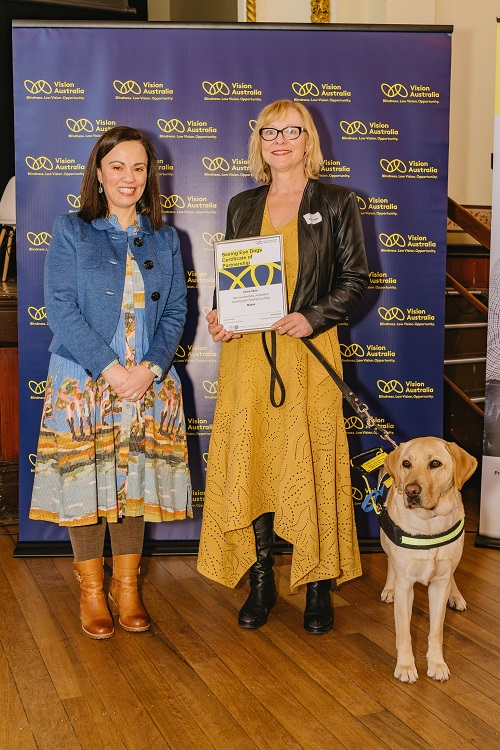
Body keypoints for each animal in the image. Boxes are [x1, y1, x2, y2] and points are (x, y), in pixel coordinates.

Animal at [378, 438, 476, 684]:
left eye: (435, 463)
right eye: (406, 463)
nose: (411, 490)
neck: (429, 525)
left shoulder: (439, 583)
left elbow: (436, 631)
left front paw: (437, 664)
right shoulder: (405, 585)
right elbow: (404, 632)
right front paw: (405, 666)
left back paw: (456, 596)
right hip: (384, 539)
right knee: (390, 562)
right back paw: (389, 589)